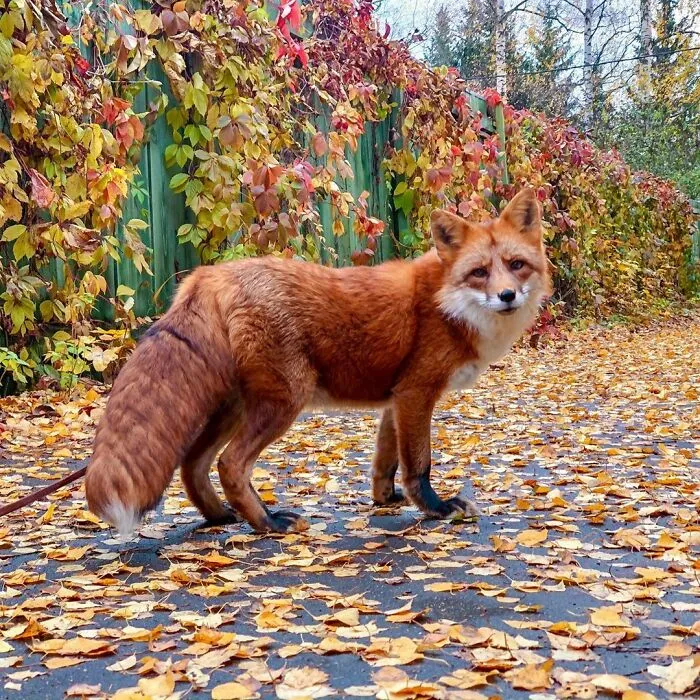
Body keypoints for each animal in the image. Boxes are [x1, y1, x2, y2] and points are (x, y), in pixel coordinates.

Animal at [85, 187, 552, 538]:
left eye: (516, 265)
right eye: (479, 272)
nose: (507, 296)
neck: (447, 303)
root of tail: (209, 276)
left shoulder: (396, 399)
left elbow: (385, 462)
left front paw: (385, 500)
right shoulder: (418, 392)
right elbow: (418, 465)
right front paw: (436, 508)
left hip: (233, 408)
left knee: (192, 465)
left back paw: (220, 517)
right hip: (284, 401)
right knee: (230, 465)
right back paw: (268, 523)